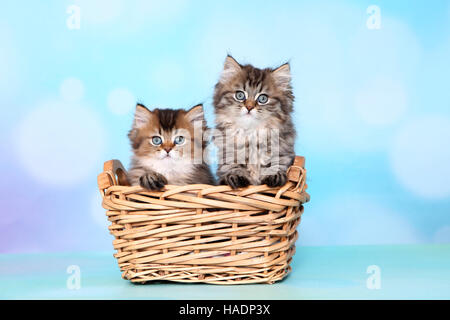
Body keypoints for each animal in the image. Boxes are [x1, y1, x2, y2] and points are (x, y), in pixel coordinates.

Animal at [214, 56, 296, 189]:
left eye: (263, 98)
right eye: (240, 95)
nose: (249, 107)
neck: (252, 132)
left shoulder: (283, 151)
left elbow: (277, 164)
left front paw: (274, 175)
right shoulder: (227, 153)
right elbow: (232, 165)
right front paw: (236, 175)